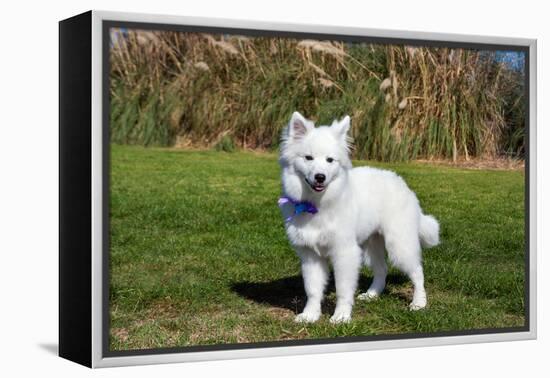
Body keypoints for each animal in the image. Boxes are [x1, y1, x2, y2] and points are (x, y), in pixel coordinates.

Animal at [278, 110, 442, 324]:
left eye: (330, 160)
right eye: (308, 158)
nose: (320, 177)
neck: (317, 204)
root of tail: (401, 183)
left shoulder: (345, 253)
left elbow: (343, 289)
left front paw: (341, 317)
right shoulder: (311, 255)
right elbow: (313, 290)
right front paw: (310, 315)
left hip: (399, 246)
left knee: (417, 272)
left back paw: (419, 303)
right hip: (371, 245)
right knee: (382, 269)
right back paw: (372, 294)